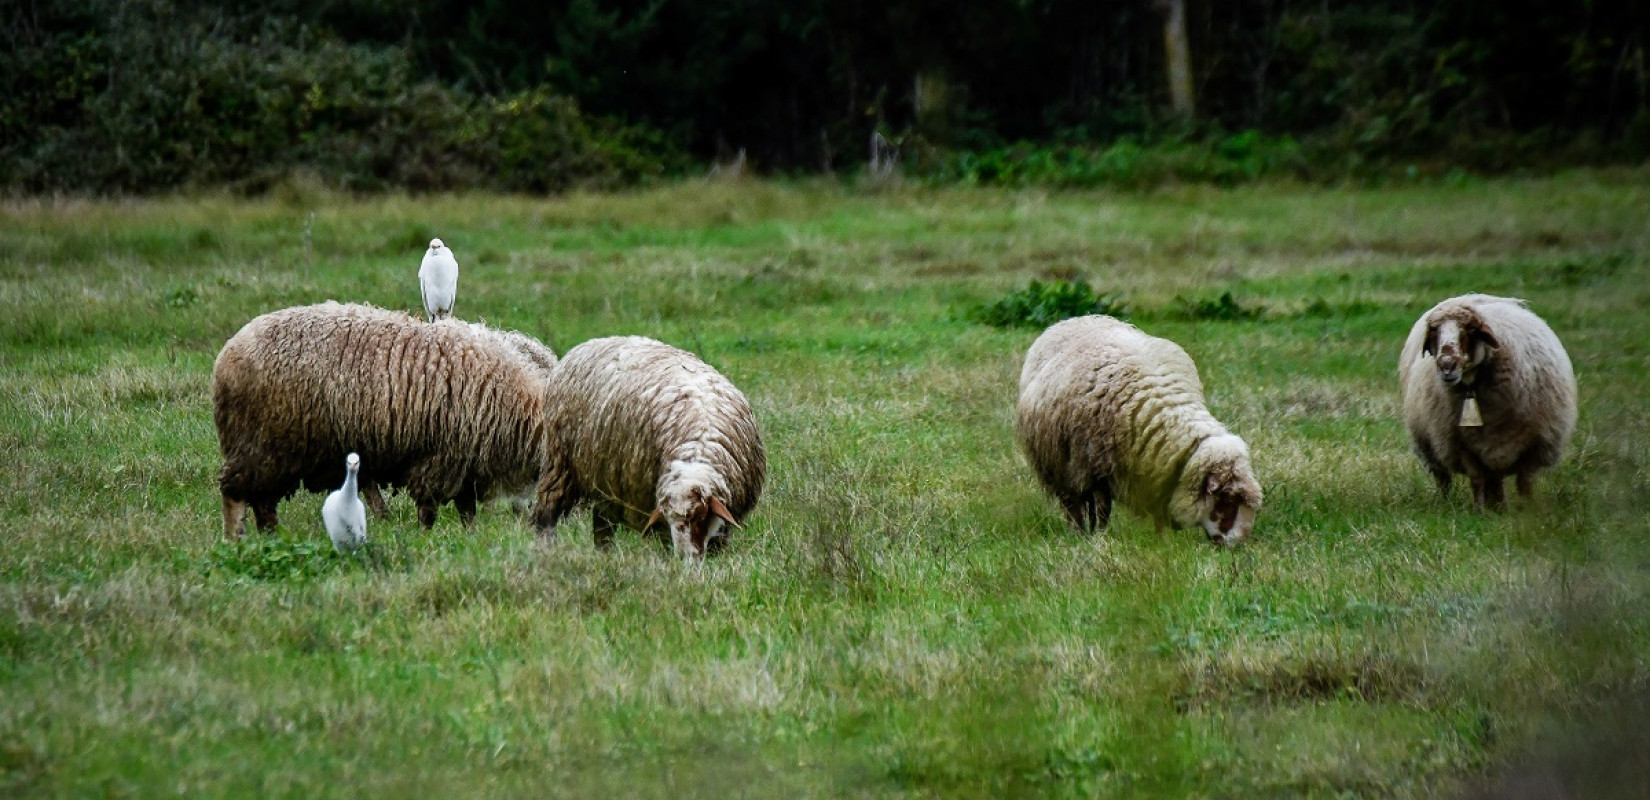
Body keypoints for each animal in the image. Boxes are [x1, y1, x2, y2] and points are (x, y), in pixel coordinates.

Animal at [209, 300, 547, 537]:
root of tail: (226, 357)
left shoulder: (464, 463)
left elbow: (467, 511)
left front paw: (470, 539)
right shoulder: (441, 458)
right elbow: (429, 509)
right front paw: (426, 539)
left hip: (272, 451)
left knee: (263, 502)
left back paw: (271, 537)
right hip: (263, 442)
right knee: (235, 492)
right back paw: (235, 540)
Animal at [1003, 311, 1260, 541]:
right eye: (1227, 499)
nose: (1238, 544)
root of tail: (1077, 318)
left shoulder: (1156, 470)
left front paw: (1161, 540)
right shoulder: (1098, 467)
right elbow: (1102, 509)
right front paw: (1101, 539)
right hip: (1060, 463)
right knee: (1073, 504)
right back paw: (1079, 533)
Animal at [1399, 291, 1577, 504]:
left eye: (1471, 329)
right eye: (1434, 331)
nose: (1447, 366)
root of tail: (1470, 297)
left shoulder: (1536, 444)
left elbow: (1524, 482)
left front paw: (1528, 507)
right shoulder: (1463, 446)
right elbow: (1476, 480)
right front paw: (1479, 509)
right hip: (1431, 444)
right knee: (1444, 477)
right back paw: (1446, 502)